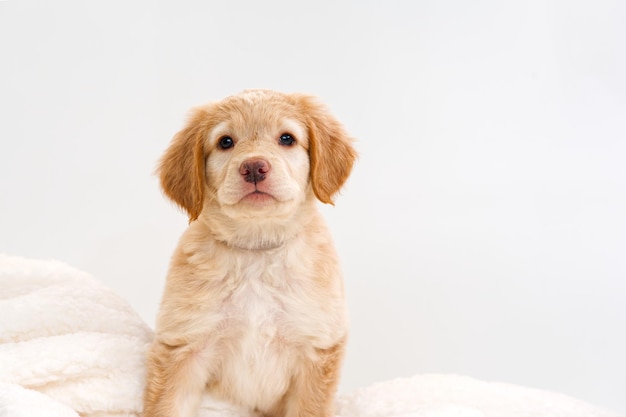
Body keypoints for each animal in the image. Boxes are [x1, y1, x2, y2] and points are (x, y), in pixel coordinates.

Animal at [143, 90, 356, 416]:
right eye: (225, 142)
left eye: (287, 138)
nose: (254, 167)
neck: (256, 251)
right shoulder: (185, 344)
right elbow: (168, 407)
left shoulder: (316, 348)